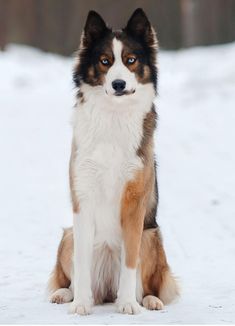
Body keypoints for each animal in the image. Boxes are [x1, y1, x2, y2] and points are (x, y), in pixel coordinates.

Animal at [48, 7, 179, 314]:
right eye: (105, 61)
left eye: (131, 60)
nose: (119, 84)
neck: (113, 115)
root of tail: (106, 290)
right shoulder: (83, 197)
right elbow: (82, 263)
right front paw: (81, 305)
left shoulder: (134, 202)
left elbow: (130, 263)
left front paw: (128, 304)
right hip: (68, 235)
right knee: (69, 277)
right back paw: (66, 294)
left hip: (151, 236)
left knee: (150, 284)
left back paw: (148, 300)